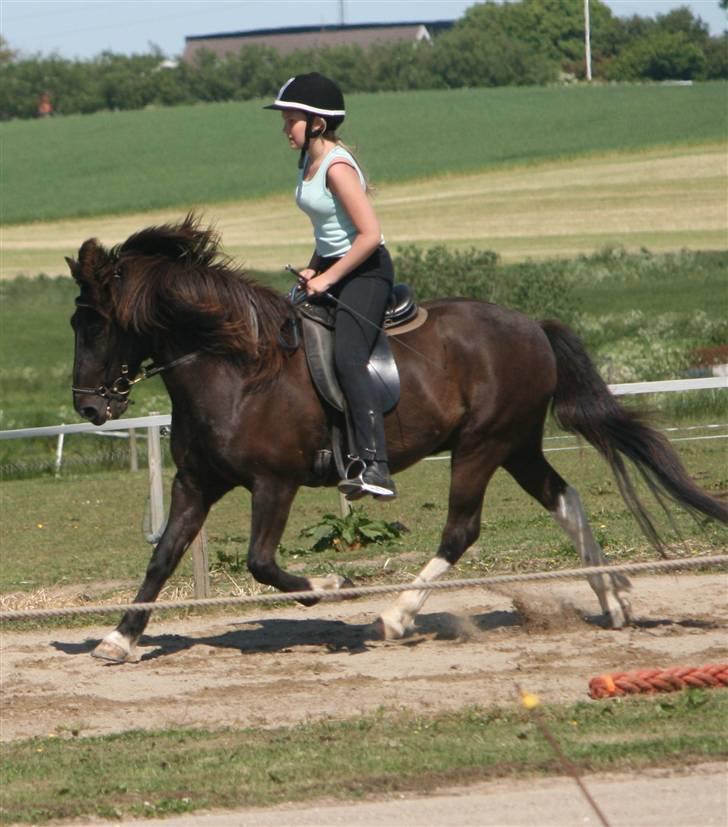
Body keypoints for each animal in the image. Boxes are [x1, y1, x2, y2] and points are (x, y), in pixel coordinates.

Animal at [67, 217, 724, 664]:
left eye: (95, 324)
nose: (89, 406)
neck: (232, 367)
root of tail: (531, 325)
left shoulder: (274, 483)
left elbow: (261, 562)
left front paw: (328, 587)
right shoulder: (195, 483)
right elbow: (163, 555)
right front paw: (118, 638)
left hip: (481, 446)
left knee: (461, 530)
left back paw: (393, 616)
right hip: (516, 445)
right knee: (566, 500)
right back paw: (614, 600)